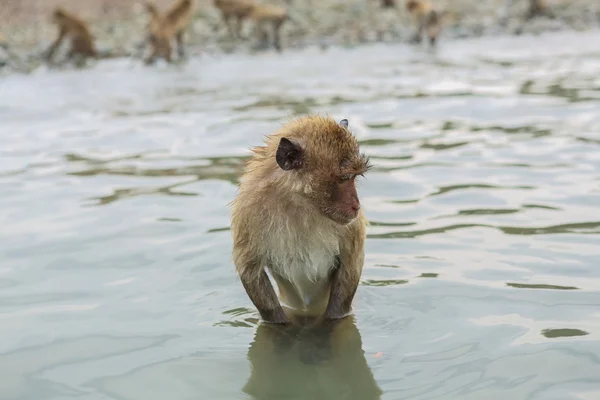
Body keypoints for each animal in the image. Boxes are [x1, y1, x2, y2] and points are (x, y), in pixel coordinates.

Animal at [230, 115, 370, 324]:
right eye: (344, 178)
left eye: (353, 178)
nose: (356, 205)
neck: (300, 202)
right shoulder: (248, 212)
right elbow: (250, 270)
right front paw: (280, 326)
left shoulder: (351, 226)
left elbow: (351, 263)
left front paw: (330, 323)